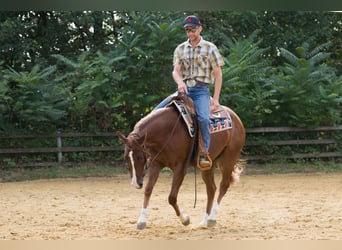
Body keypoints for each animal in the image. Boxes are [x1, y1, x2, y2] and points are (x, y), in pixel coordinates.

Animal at [117, 94, 246, 230]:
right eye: (126, 158)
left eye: (140, 157)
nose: (135, 184)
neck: (167, 132)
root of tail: (235, 117)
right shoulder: (156, 164)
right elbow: (148, 190)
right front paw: (141, 221)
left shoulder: (180, 168)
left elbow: (172, 197)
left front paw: (185, 220)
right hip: (208, 165)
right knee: (211, 189)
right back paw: (204, 221)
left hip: (229, 158)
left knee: (223, 185)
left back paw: (212, 218)